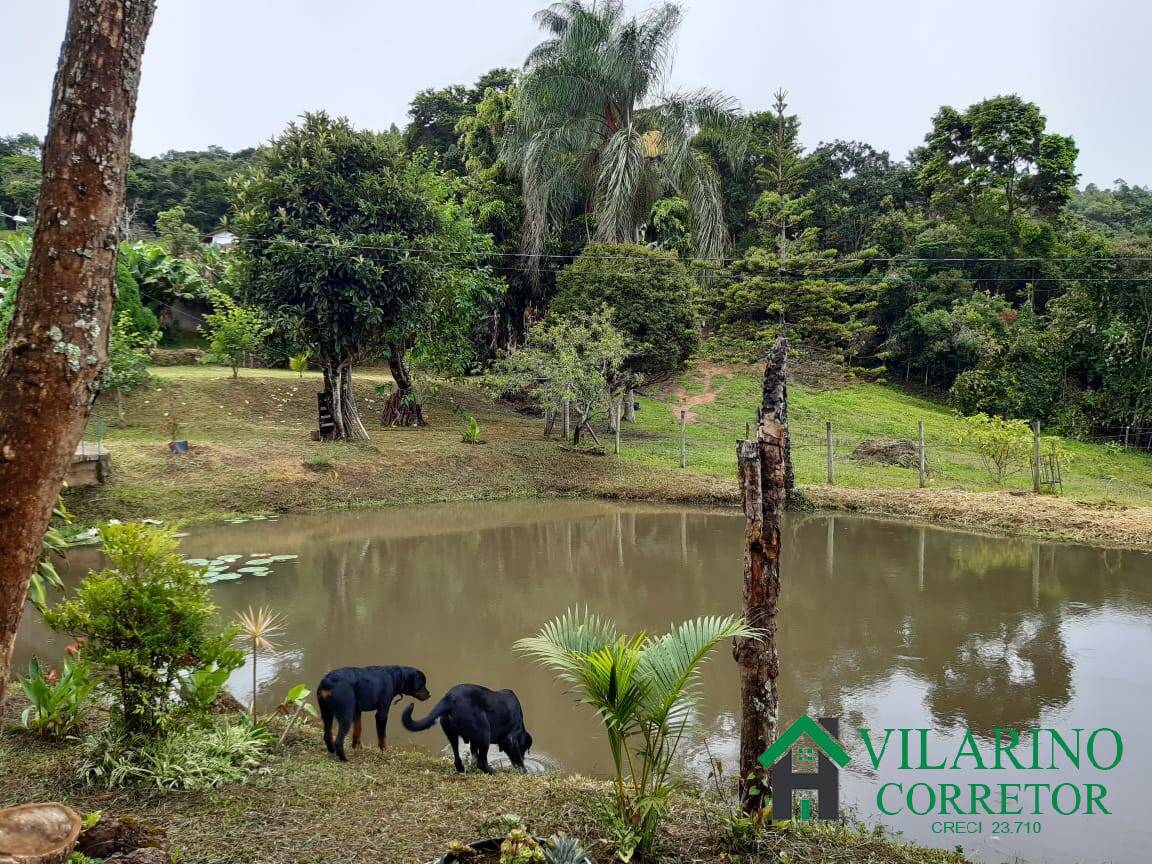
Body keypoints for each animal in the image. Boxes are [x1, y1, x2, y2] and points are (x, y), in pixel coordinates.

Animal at [403, 686, 532, 774]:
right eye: (524, 748)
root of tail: (449, 699)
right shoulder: (511, 740)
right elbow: (518, 761)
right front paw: (524, 770)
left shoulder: (474, 741)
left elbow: (474, 756)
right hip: (485, 733)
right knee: (482, 762)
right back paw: (494, 772)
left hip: (452, 735)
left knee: (457, 759)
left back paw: (462, 769)